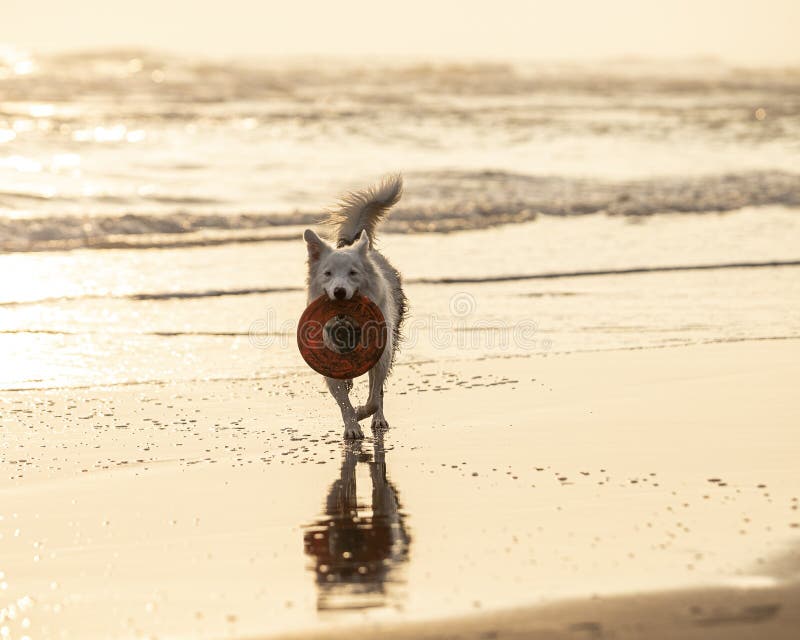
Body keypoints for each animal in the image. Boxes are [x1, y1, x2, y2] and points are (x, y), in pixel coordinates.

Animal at [304, 172, 410, 438]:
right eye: (328, 274)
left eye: (353, 273)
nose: (339, 292)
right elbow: (342, 399)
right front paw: (351, 426)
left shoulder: (381, 354)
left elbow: (373, 397)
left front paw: (362, 413)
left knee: (379, 392)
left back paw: (378, 420)